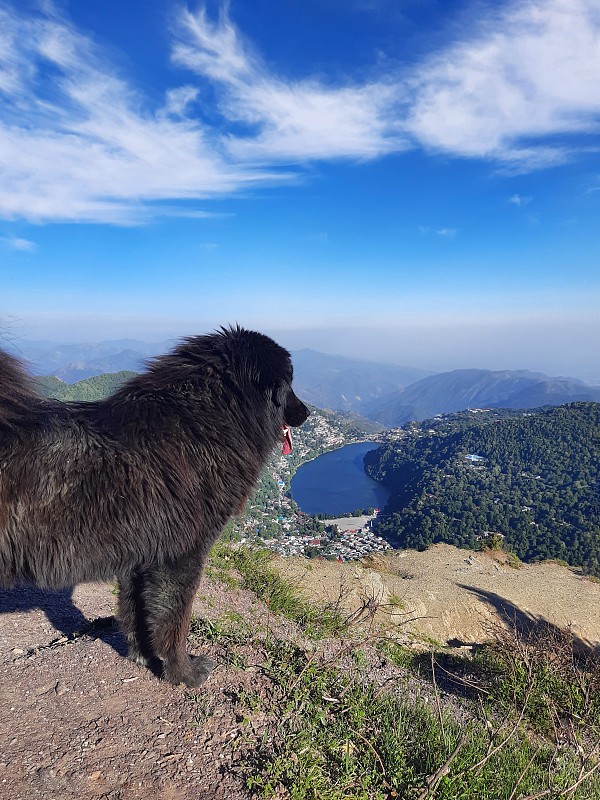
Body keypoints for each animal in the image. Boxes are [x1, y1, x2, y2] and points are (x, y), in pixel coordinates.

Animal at [0, 326, 308, 688]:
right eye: (289, 383)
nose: (307, 412)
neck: (202, 425)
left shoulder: (140, 560)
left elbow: (137, 614)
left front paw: (143, 657)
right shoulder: (181, 558)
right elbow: (173, 623)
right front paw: (183, 673)